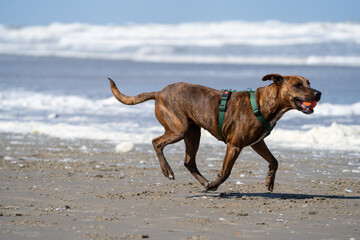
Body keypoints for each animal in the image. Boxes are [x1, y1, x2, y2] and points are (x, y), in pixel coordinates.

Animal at [108, 74, 322, 192]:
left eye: (309, 83)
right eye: (297, 85)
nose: (319, 93)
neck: (263, 104)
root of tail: (159, 93)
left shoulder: (257, 143)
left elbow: (274, 161)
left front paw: (269, 181)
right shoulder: (234, 146)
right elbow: (226, 172)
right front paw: (214, 184)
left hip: (193, 133)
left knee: (189, 162)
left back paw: (203, 182)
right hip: (179, 129)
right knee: (156, 142)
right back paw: (168, 171)